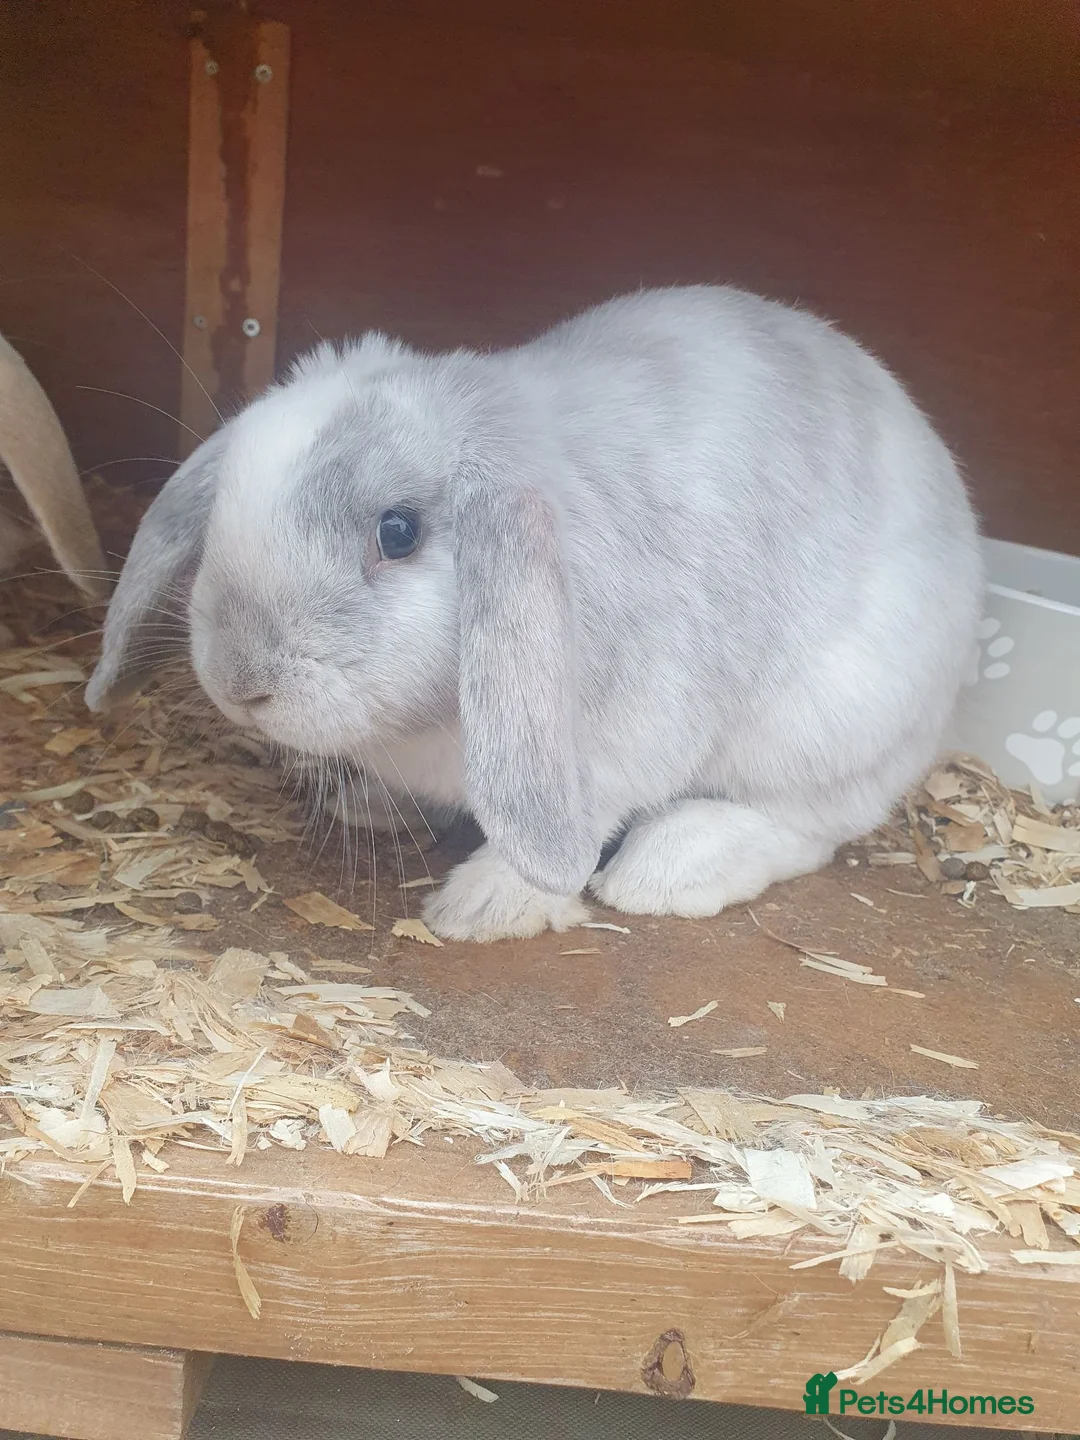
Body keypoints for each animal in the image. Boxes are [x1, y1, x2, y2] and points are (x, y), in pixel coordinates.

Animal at [85, 285, 983, 942]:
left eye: (398, 532)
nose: (239, 682)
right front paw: (379, 809)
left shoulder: (627, 733)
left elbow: (581, 818)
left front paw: (483, 908)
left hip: (828, 722)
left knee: (810, 823)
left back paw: (666, 871)